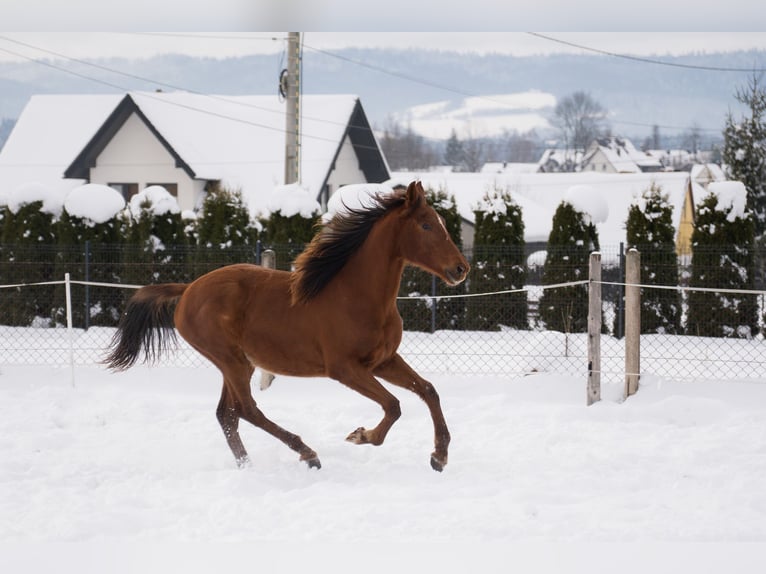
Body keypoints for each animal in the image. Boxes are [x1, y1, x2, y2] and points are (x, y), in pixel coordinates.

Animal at [105, 181, 469, 471]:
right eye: (426, 225)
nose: (460, 269)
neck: (357, 295)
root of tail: (188, 290)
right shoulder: (344, 368)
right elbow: (393, 405)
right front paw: (361, 435)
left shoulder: (382, 361)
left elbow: (428, 390)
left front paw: (439, 456)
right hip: (230, 360)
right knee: (246, 410)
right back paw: (307, 454)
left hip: (240, 363)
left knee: (227, 415)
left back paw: (248, 465)